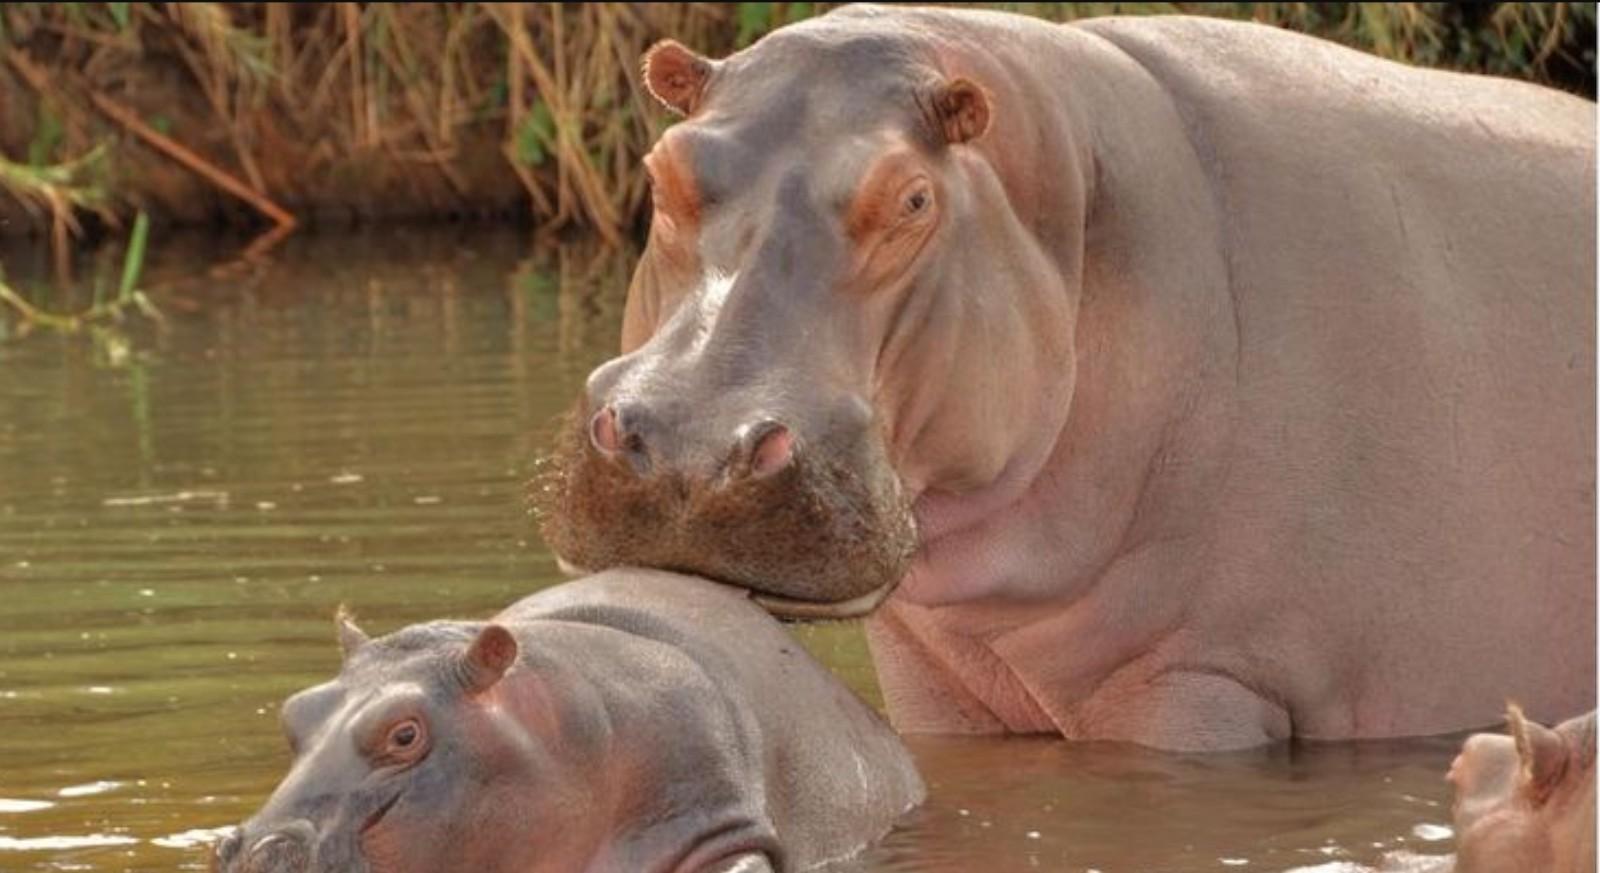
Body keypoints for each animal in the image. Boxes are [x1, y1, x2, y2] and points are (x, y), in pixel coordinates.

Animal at [534, 4, 1596, 750]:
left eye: (913, 199)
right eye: (661, 169)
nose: (690, 447)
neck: (1078, 215)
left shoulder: (1203, 683)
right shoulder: (939, 688)